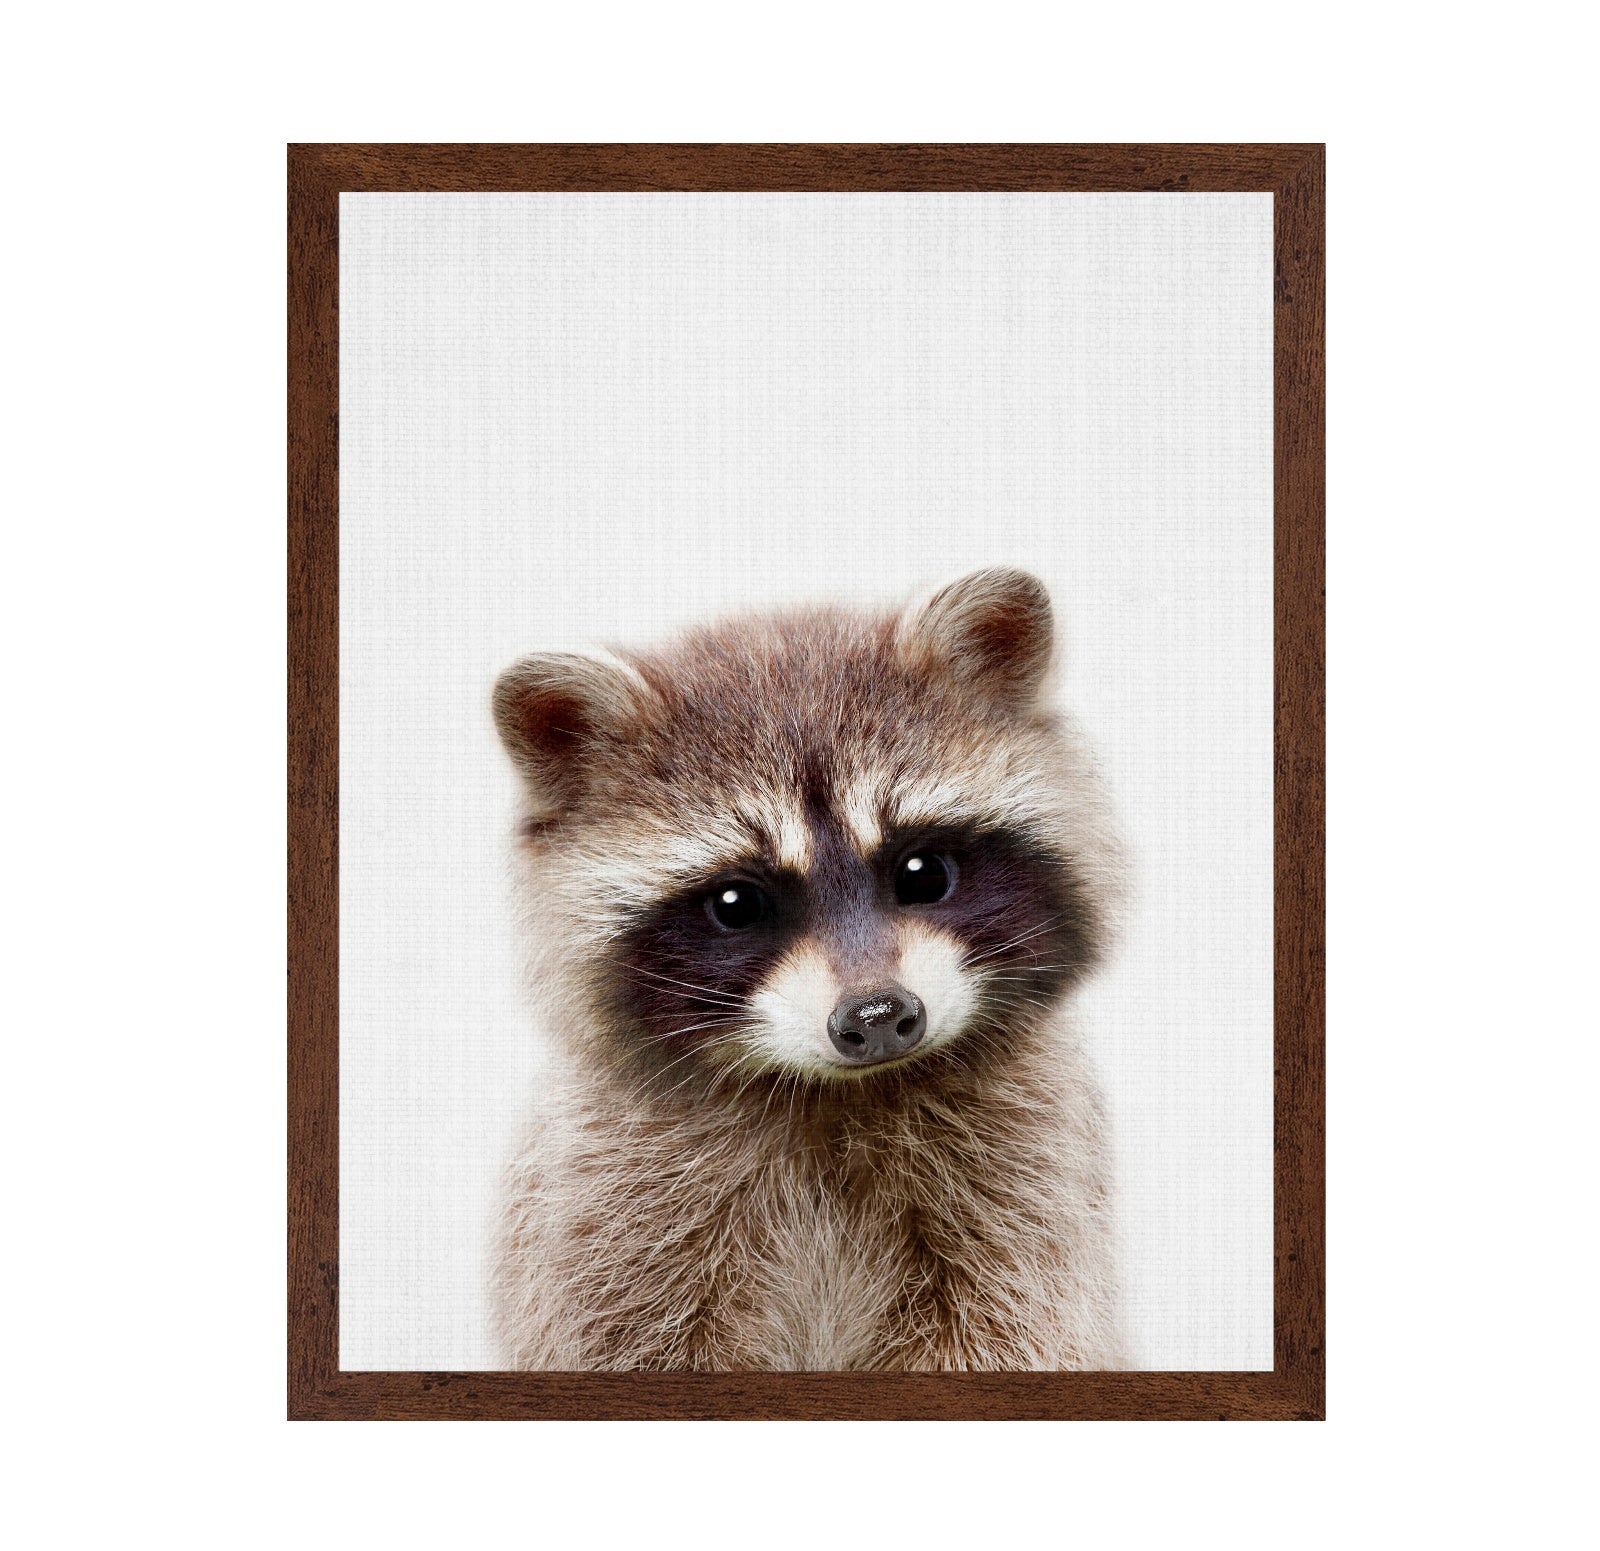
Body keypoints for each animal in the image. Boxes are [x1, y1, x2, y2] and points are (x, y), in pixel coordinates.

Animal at [490, 567, 1128, 1371]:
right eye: (736, 904)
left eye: (923, 872)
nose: (878, 1017)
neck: (835, 1094)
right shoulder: (605, 1210)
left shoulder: (1027, 1188)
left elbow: (1011, 1330)